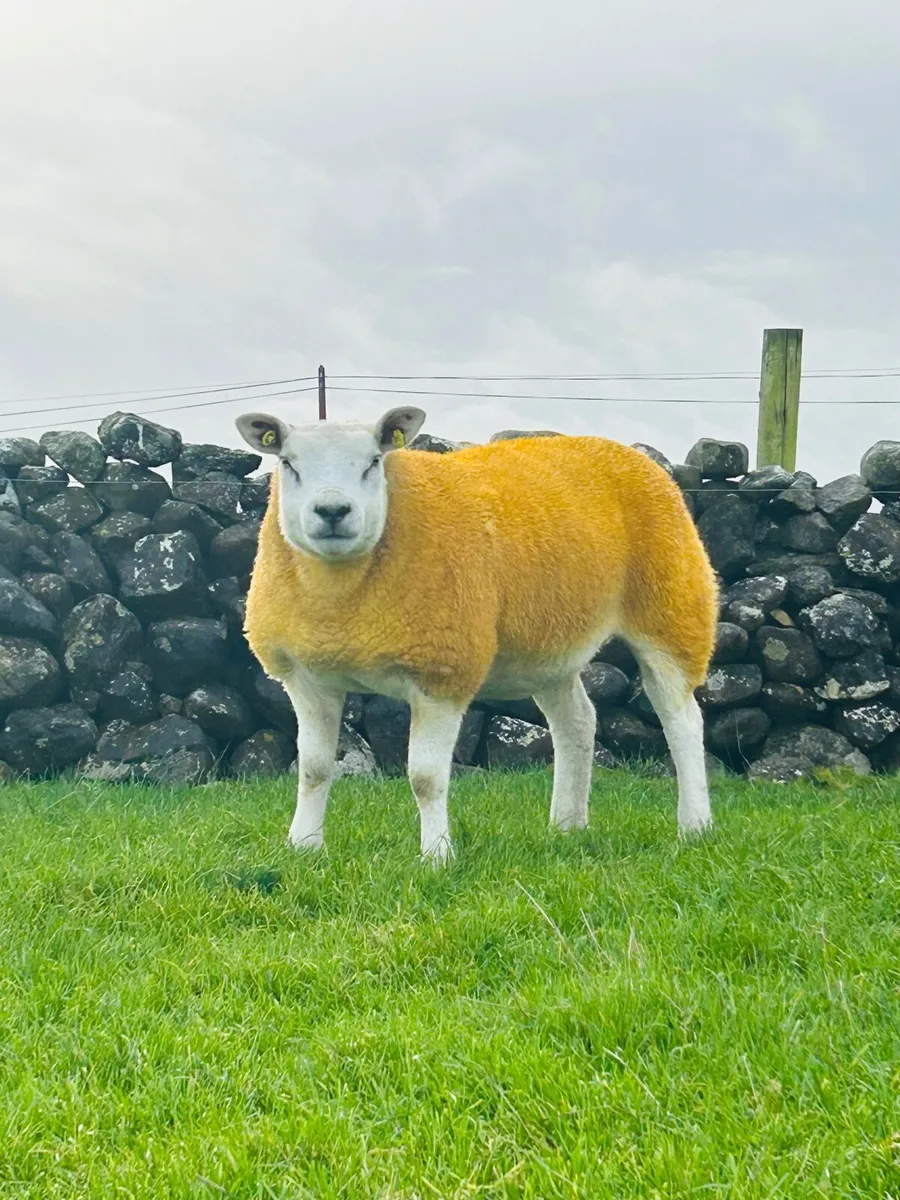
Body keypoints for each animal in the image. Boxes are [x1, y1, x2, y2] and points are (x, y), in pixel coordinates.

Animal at [235, 407, 719, 863]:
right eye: (288, 463)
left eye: (374, 461)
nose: (333, 512)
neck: (341, 603)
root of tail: (628, 453)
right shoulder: (307, 679)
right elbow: (313, 769)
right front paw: (303, 848)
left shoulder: (442, 670)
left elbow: (426, 778)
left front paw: (436, 857)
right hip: (548, 642)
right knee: (577, 721)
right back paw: (567, 826)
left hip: (671, 611)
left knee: (682, 720)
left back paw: (694, 826)